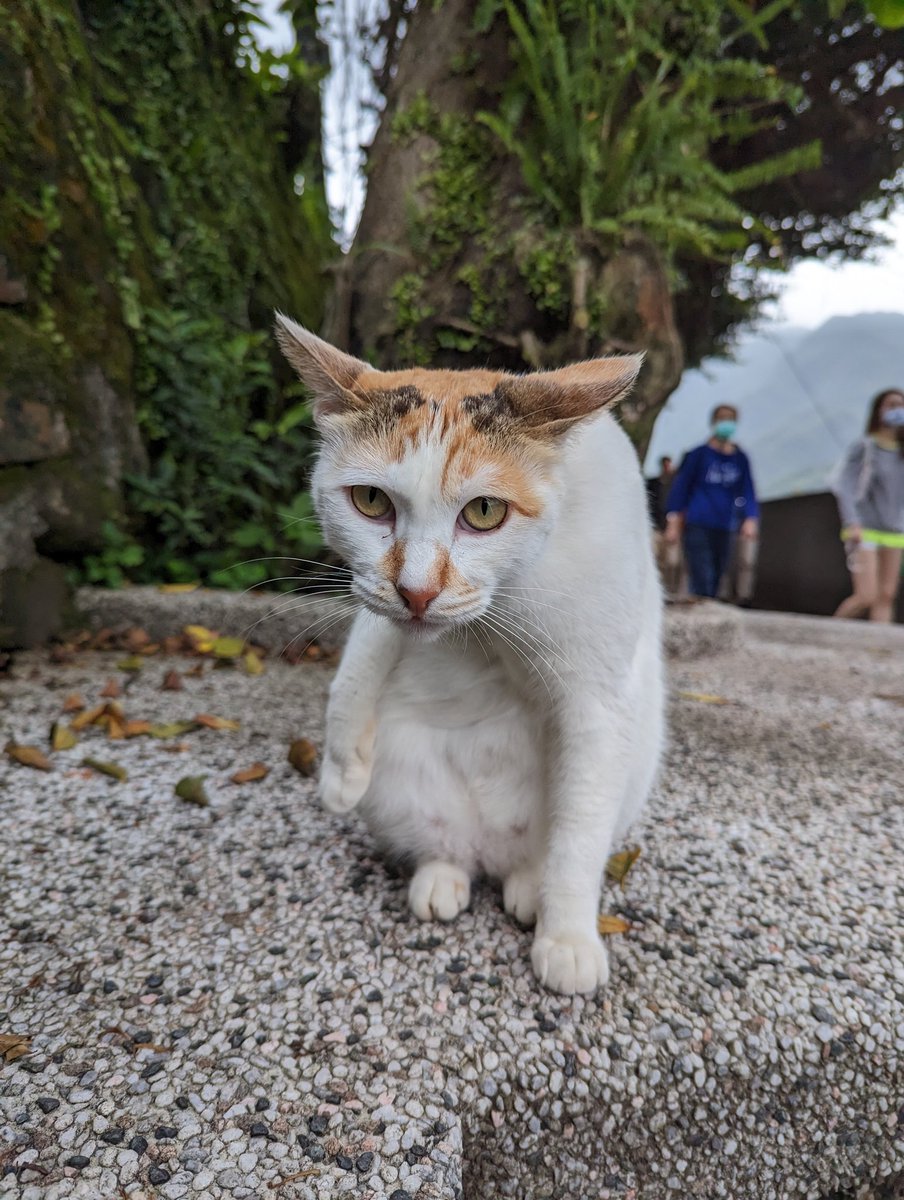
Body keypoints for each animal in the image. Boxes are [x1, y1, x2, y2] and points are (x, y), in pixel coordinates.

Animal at [274, 316, 662, 993]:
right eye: (370, 501)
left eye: (484, 511)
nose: (418, 591)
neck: (500, 611)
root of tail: (490, 850)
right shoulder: (381, 602)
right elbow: (364, 654)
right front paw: (339, 773)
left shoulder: (600, 701)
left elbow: (579, 839)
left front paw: (567, 939)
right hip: (406, 792)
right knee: (444, 849)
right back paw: (440, 877)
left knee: (551, 847)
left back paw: (531, 888)